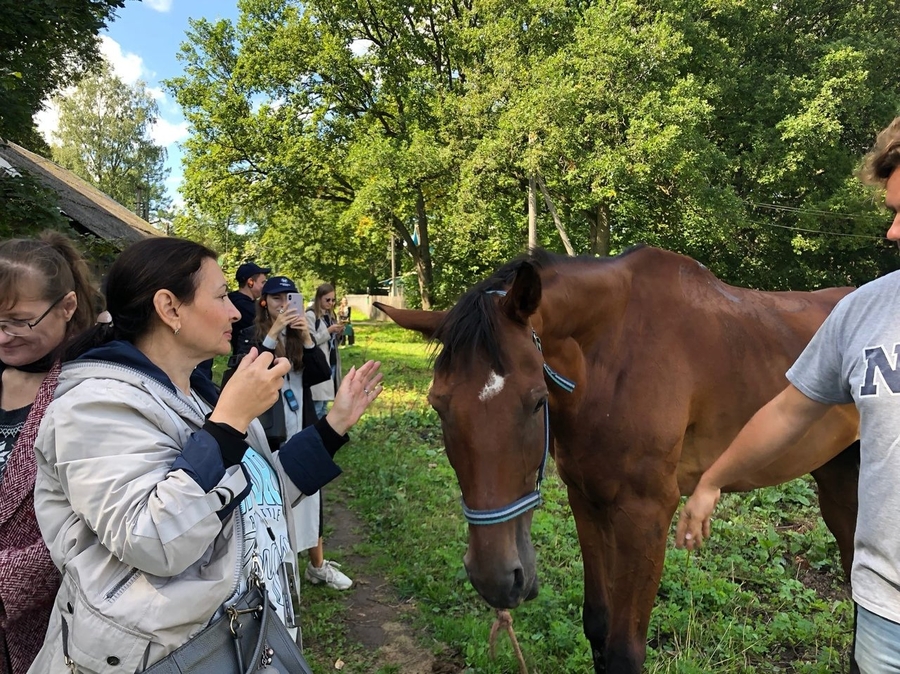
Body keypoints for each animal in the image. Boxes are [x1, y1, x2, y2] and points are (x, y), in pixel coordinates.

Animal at [376, 245, 860, 672]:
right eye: (438, 405)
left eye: (536, 401)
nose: (494, 578)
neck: (612, 356)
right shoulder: (587, 500)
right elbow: (597, 626)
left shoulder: (647, 514)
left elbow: (626, 651)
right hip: (839, 482)